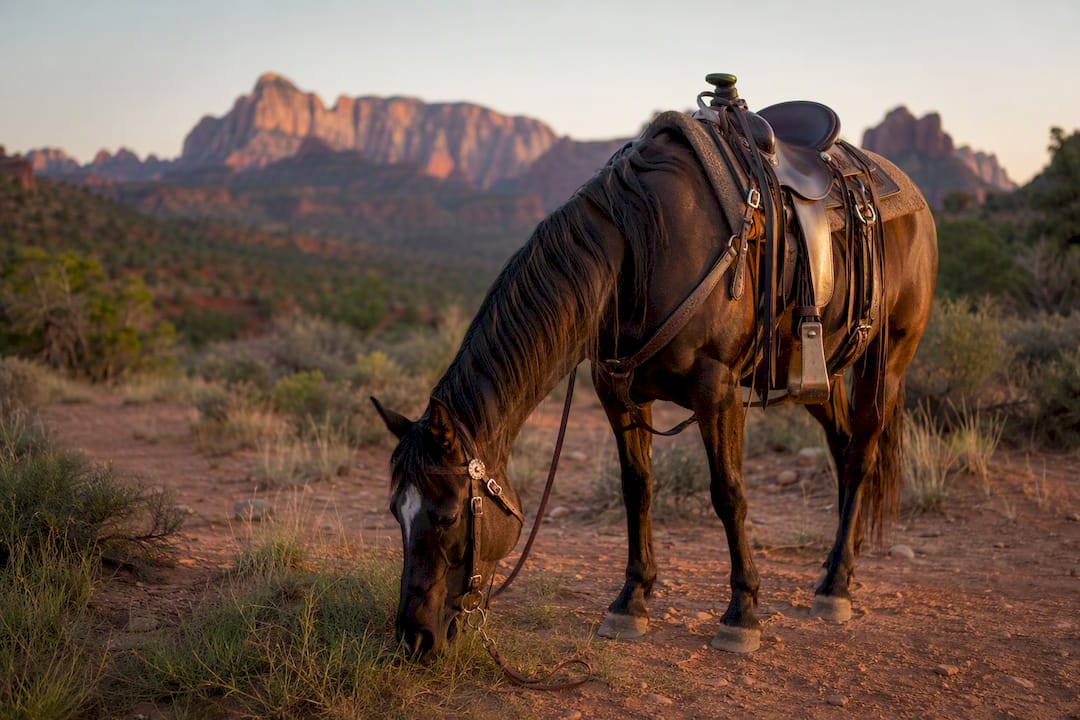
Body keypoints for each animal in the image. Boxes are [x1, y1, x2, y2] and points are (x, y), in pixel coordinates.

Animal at [372, 91, 938, 663]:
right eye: (395, 512)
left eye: (447, 516)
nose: (414, 638)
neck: (639, 252)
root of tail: (908, 193)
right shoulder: (618, 392)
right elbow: (637, 488)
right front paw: (632, 600)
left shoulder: (718, 391)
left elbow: (729, 494)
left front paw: (742, 613)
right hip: (816, 374)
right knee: (843, 449)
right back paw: (838, 565)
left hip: (889, 361)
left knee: (862, 454)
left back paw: (837, 585)